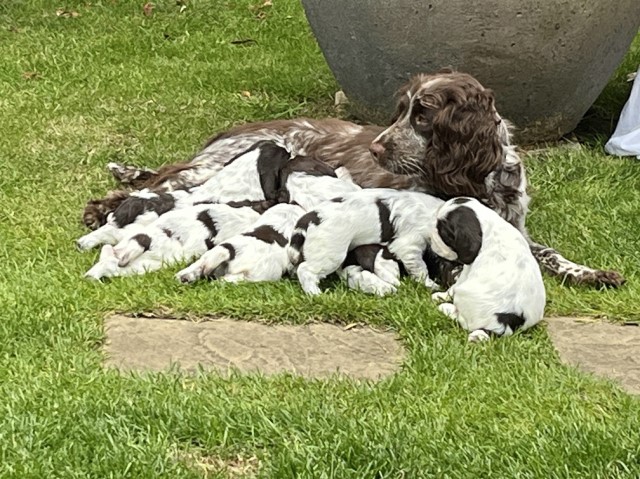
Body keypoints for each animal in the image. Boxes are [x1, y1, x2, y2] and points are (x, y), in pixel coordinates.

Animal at [288, 188, 442, 296]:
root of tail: (310, 217)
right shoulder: (409, 246)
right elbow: (420, 269)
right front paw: (431, 285)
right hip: (330, 254)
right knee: (305, 270)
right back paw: (315, 293)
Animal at [430, 196, 544, 342]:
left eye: (442, 231)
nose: (431, 236)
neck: (488, 225)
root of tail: (508, 322)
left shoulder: (467, 270)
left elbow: (454, 287)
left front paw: (441, 296)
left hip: (464, 296)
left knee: (464, 321)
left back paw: (446, 308)